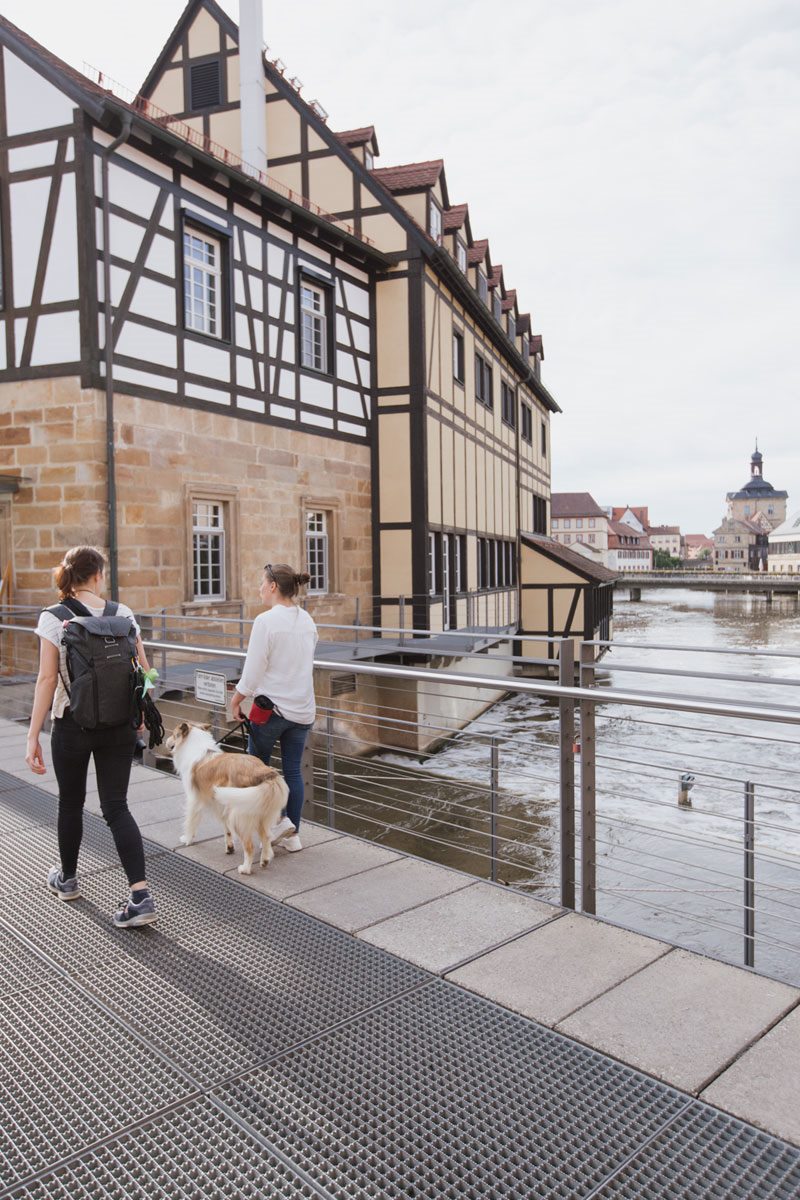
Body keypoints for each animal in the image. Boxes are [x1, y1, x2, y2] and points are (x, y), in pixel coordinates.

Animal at [163, 715, 291, 878]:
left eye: (174, 735)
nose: (166, 741)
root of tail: (262, 772)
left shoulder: (194, 799)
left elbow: (190, 821)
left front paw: (187, 839)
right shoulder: (221, 805)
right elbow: (226, 828)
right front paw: (229, 848)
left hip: (239, 815)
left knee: (249, 846)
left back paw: (245, 869)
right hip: (260, 812)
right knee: (267, 837)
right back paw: (265, 860)